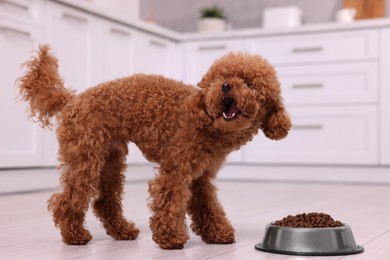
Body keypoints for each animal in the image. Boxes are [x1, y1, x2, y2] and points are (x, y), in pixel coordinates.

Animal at [19, 45, 292, 250]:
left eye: (248, 83)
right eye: (219, 78)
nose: (226, 86)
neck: (206, 121)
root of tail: (72, 100)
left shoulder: (201, 177)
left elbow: (207, 205)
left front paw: (217, 233)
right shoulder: (176, 168)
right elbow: (169, 200)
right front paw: (170, 238)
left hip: (111, 160)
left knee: (104, 201)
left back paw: (122, 231)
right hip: (86, 156)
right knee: (67, 199)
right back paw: (74, 235)